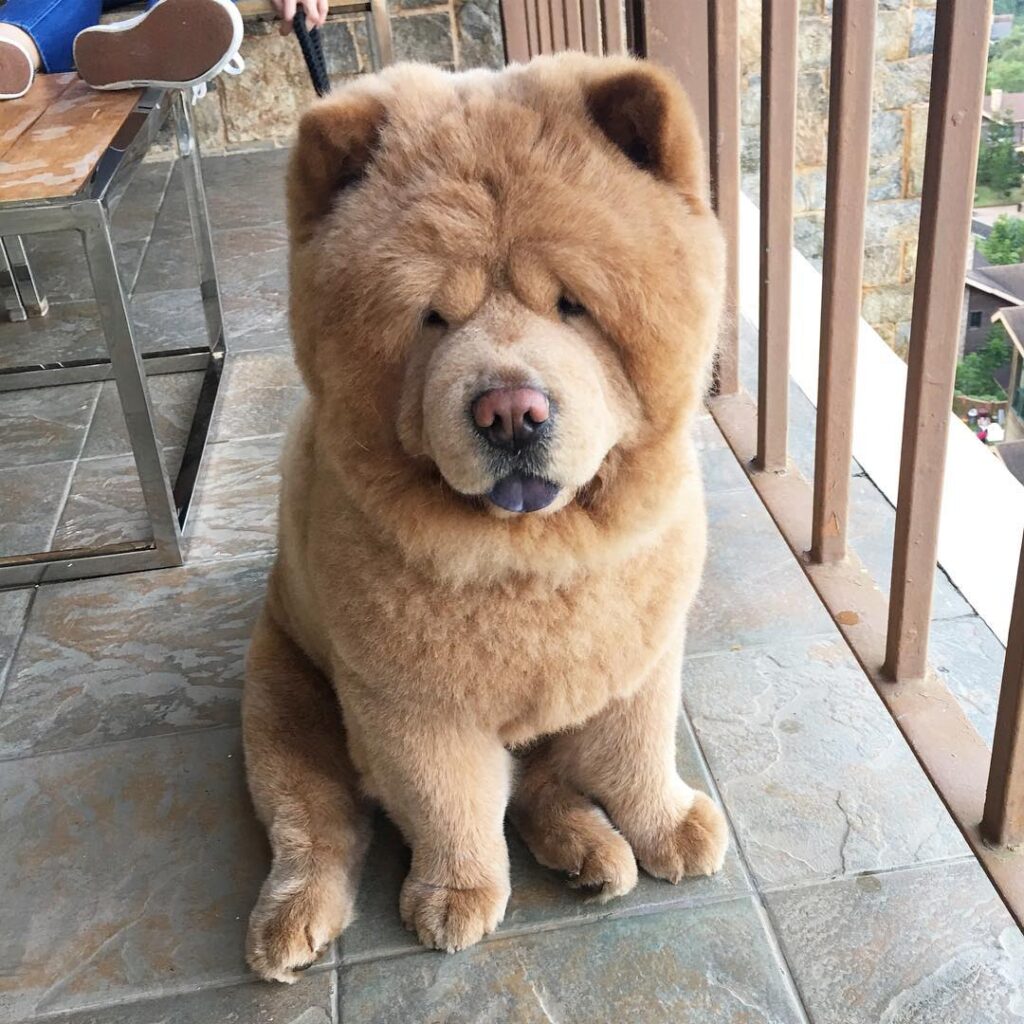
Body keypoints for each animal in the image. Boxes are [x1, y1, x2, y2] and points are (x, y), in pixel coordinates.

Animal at [242, 49, 729, 983]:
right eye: (432, 317)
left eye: (573, 304)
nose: (510, 411)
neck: (534, 562)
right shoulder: (408, 706)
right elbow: (449, 802)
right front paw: (457, 892)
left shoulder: (643, 659)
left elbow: (639, 750)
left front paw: (670, 824)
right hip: (283, 701)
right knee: (317, 823)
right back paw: (291, 924)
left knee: (543, 782)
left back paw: (590, 852)